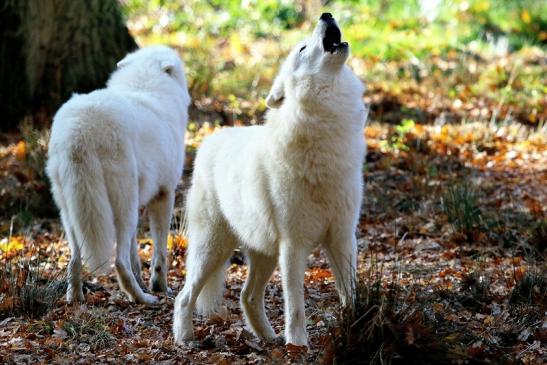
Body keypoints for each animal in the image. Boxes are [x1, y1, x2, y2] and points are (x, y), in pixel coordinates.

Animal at [47, 45, 193, 304]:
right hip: (123, 208)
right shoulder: (165, 195)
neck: (145, 85)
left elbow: (137, 254)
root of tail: (80, 129)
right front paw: (160, 287)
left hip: (70, 211)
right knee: (119, 262)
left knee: (74, 260)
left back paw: (75, 298)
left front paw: (145, 281)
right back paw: (143, 299)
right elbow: (159, 252)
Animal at [173, 12, 366, 346]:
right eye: (303, 48)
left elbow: (349, 293)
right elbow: (296, 305)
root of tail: (211, 139)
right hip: (213, 248)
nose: (326, 14)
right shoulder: (294, 245)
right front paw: (298, 345)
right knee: (185, 296)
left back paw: (268, 338)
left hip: (263, 253)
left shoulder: (342, 237)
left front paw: (354, 328)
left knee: (247, 296)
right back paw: (185, 337)